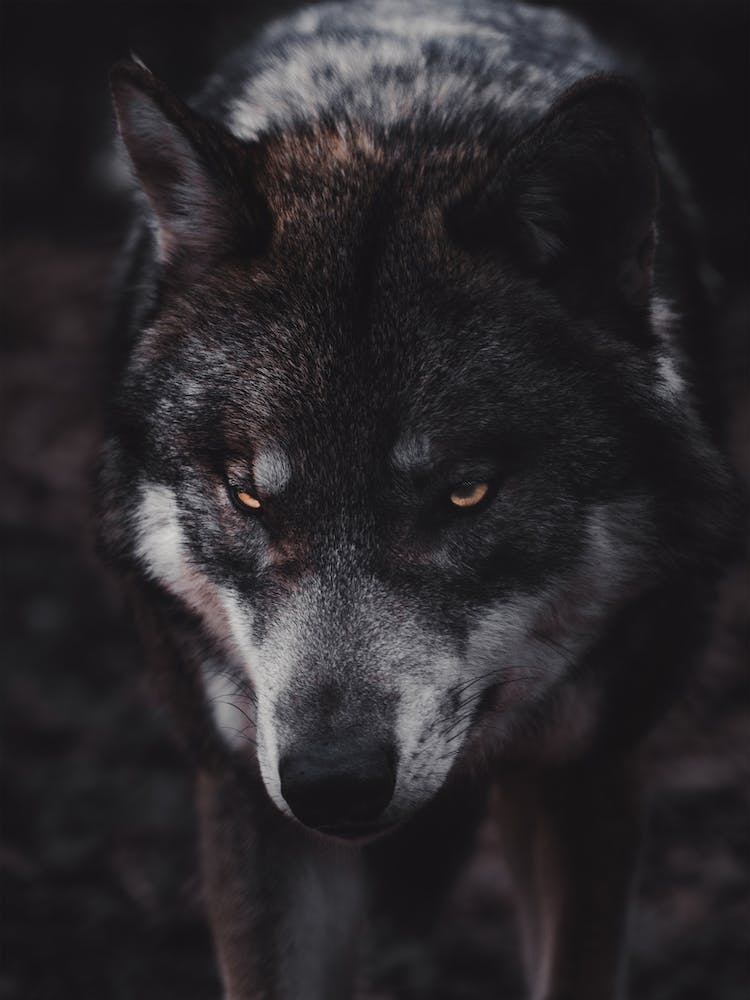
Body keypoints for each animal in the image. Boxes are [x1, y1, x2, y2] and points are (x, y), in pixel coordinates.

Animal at [97, 1, 736, 997]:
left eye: (466, 493)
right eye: (246, 497)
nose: (332, 781)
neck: (393, 120)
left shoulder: (591, 771)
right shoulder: (245, 793)